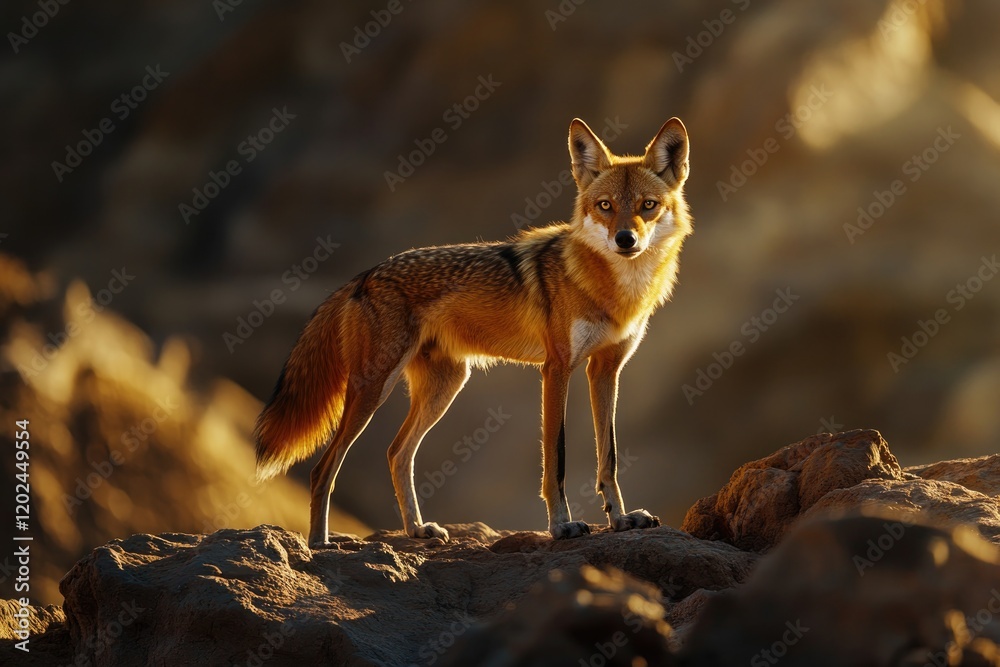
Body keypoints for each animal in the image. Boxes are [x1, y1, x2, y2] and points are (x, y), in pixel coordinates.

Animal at [254, 117, 693, 546]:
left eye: (647, 206)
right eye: (606, 206)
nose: (625, 239)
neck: (615, 290)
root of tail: (363, 276)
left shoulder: (605, 371)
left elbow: (609, 457)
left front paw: (620, 519)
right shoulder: (556, 369)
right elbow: (557, 460)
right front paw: (561, 525)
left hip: (445, 387)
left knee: (396, 453)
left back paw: (417, 529)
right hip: (373, 389)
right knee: (324, 468)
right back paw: (319, 543)